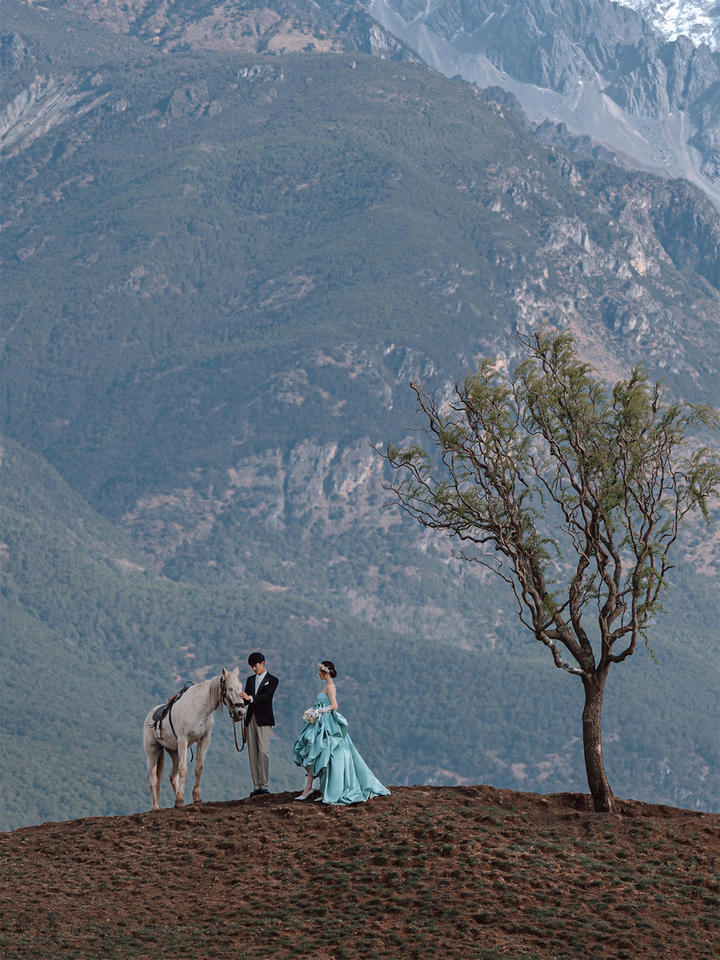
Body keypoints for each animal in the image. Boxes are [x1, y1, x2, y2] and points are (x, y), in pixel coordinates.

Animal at [142, 668, 246, 808]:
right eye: (230, 688)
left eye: (241, 687)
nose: (241, 712)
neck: (198, 708)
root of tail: (151, 715)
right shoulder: (183, 741)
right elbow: (183, 769)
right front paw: (180, 800)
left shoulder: (204, 740)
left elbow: (198, 768)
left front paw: (196, 798)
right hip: (153, 751)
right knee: (154, 778)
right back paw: (156, 807)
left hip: (174, 752)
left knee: (172, 776)